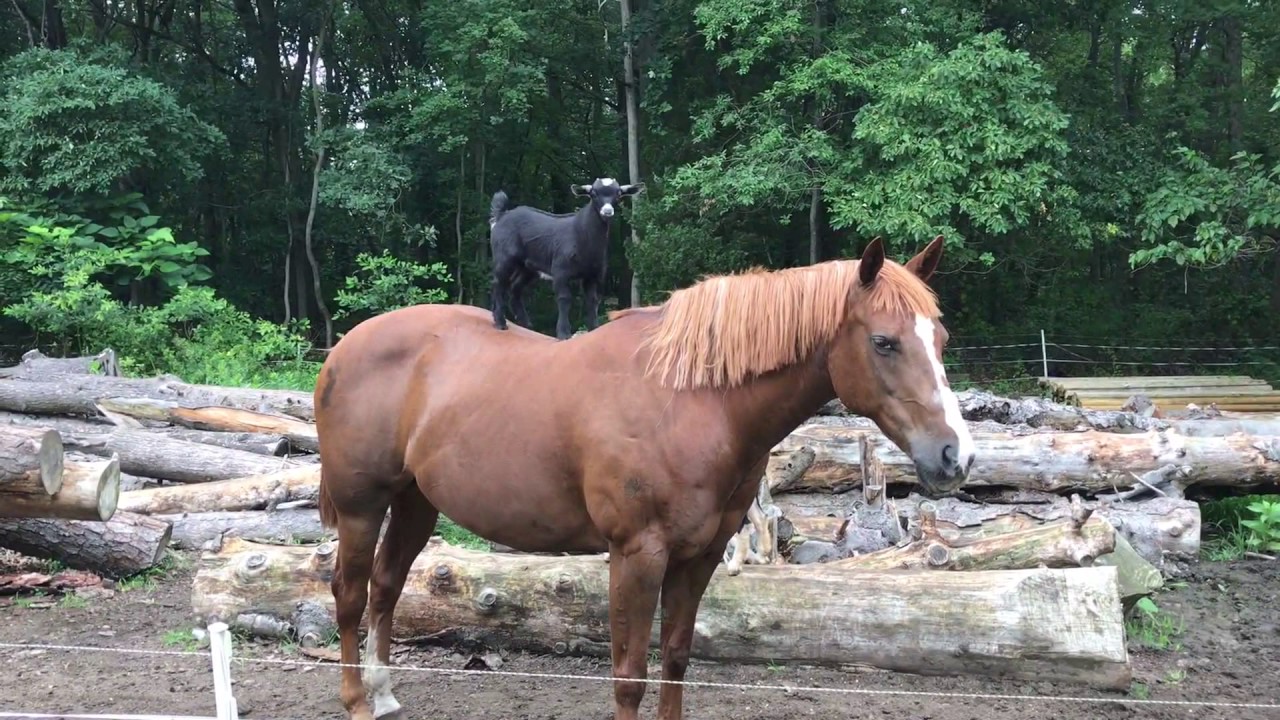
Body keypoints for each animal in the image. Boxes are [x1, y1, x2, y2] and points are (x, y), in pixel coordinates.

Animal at [313, 234, 975, 720]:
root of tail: (344, 349)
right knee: (349, 594)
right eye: (884, 342)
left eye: (941, 338)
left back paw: (385, 694)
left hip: (415, 503)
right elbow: (629, 675)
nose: (956, 456)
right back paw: (358, 702)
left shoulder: (699, 556)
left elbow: (676, 659)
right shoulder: (636, 553)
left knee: (386, 588)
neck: (693, 401)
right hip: (361, 506)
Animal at [488, 178, 643, 340]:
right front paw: (563, 333)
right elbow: (564, 298)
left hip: (527, 267)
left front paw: (593, 329)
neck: (581, 234)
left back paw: (526, 325)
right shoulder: (560, 271)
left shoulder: (592, 275)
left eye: (618, 194)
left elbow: (592, 301)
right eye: (593, 193)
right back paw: (500, 322)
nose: (607, 211)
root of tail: (501, 215)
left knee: (515, 287)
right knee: (498, 284)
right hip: (505, 258)